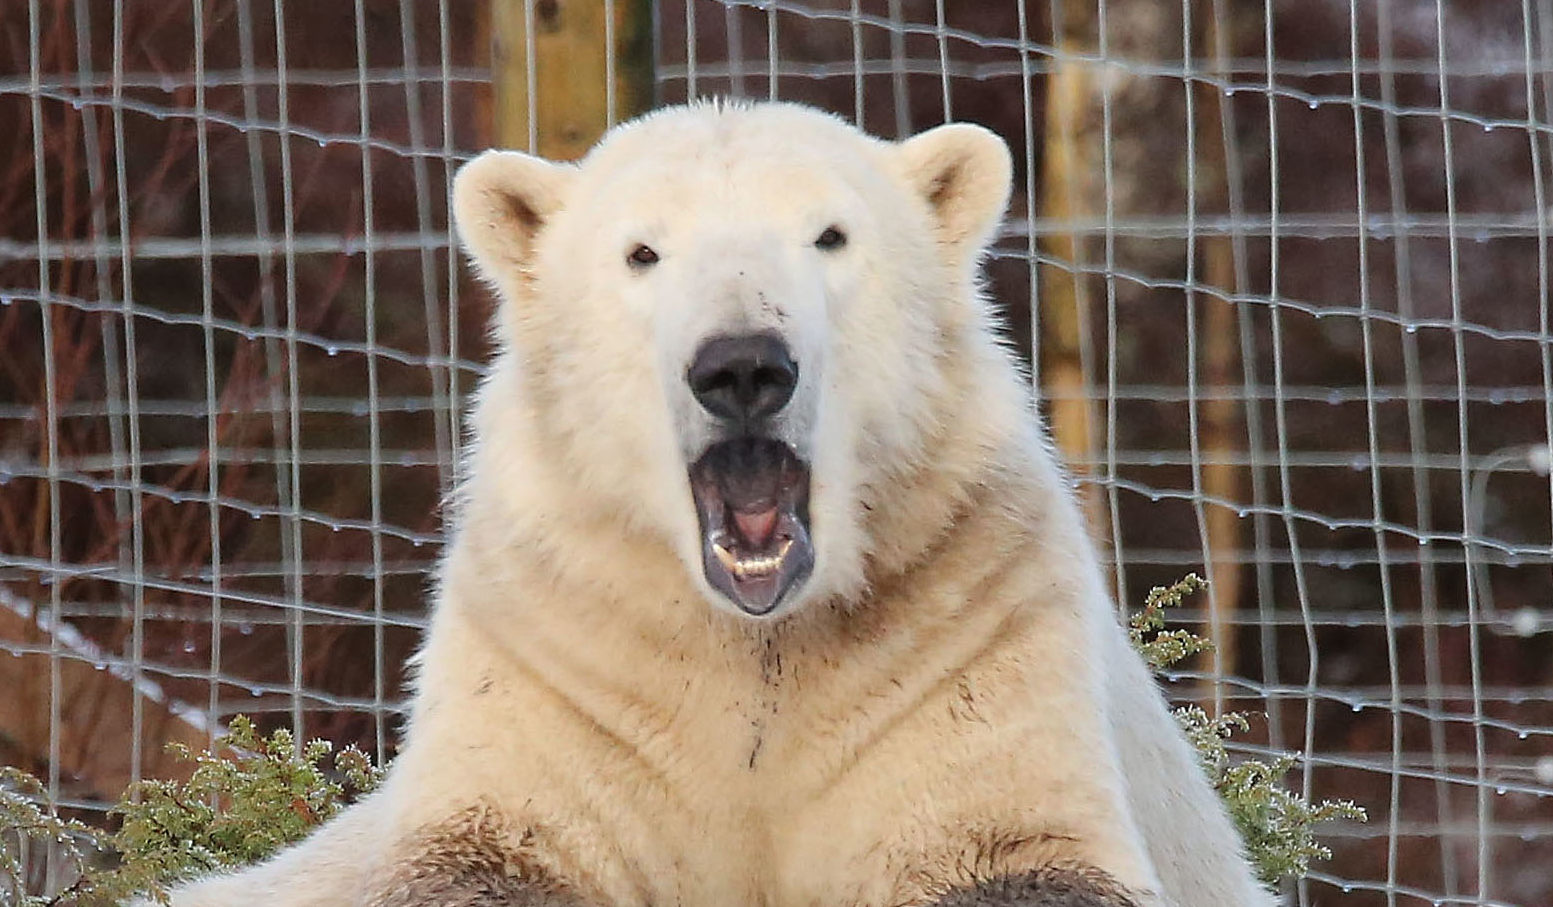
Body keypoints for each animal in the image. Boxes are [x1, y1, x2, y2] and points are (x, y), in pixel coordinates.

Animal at [157, 102, 1273, 900]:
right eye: (640, 252)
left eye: (830, 235)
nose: (742, 365)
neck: (754, 635)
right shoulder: (565, 649)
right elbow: (492, 851)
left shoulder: (967, 625)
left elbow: (1007, 848)